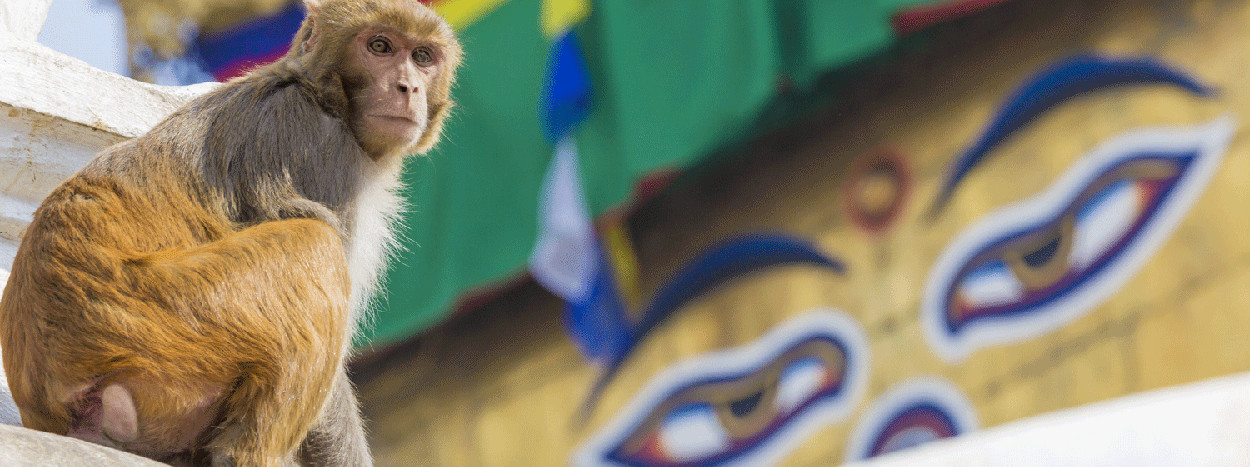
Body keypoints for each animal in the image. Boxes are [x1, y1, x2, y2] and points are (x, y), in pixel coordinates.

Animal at [0, 0, 465, 464]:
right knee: (317, 244)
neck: (324, 95)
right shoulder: (318, 148)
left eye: (422, 57)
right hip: (164, 322)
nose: (408, 87)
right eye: (380, 47)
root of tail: (49, 398)